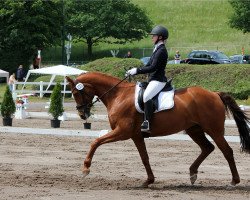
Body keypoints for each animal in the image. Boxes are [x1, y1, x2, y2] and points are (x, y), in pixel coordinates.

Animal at [65, 72, 249, 188]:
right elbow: (144, 158)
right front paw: (149, 181)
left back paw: (234, 181)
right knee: (207, 148)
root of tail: (215, 93)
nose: (82, 114)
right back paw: (192, 174)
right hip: (194, 129)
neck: (117, 95)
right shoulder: (136, 135)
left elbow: (95, 142)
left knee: (227, 151)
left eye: (76, 92)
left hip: (214, 130)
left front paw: (86, 169)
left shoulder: (123, 132)